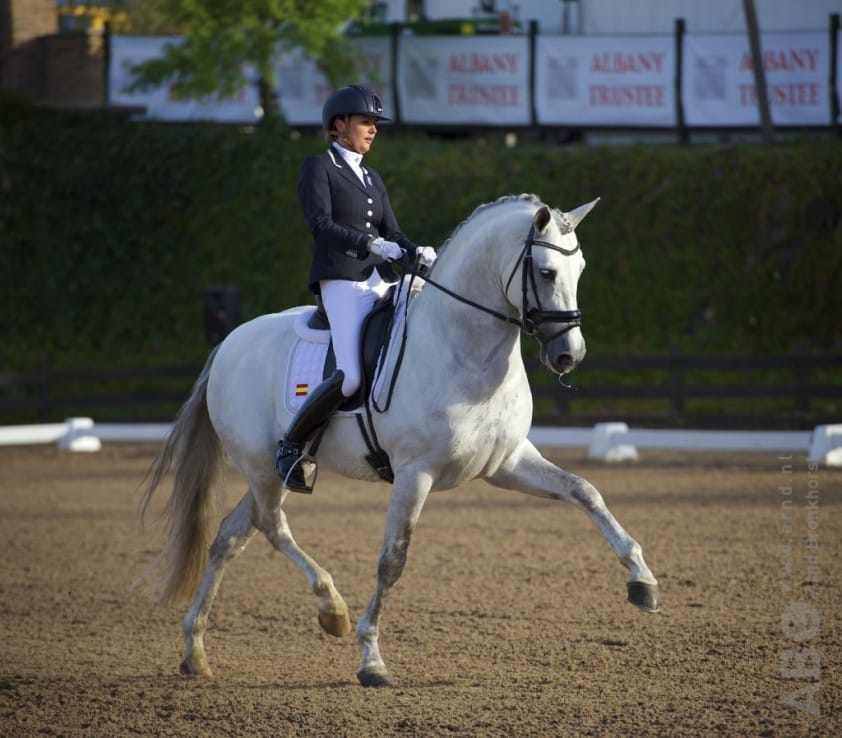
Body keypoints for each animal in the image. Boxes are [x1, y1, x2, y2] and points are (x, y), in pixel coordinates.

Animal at [140, 193, 661, 688]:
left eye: (581, 270)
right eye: (547, 271)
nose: (569, 355)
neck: (463, 348)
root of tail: (228, 343)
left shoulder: (507, 462)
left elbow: (584, 490)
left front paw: (643, 582)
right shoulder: (415, 473)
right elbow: (393, 560)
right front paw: (371, 660)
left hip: (271, 470)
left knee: (230, 536)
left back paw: (195, 653)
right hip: (262, 466)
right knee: (271, 524)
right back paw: (332, 608)